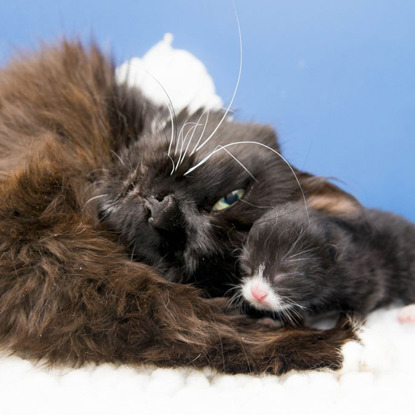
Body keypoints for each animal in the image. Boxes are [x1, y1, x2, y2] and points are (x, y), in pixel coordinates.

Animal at [240, 202, 415, 324]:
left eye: (285, 273)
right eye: (247, 266)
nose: (257, 293)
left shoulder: (367, 276)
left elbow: (364, 302)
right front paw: (274, 322)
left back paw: (409, 312)